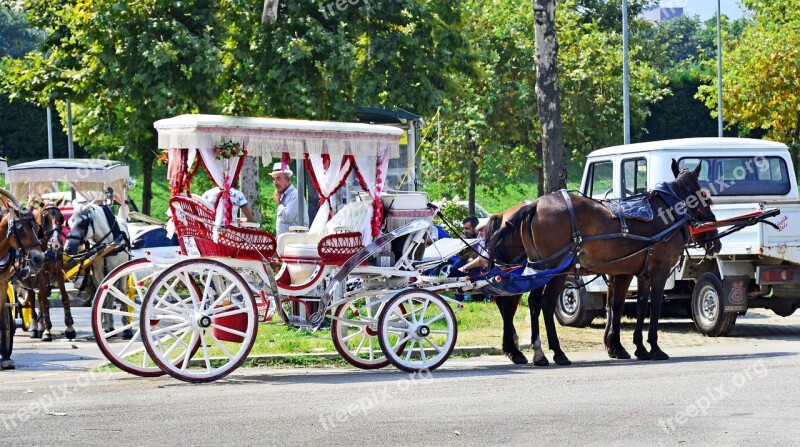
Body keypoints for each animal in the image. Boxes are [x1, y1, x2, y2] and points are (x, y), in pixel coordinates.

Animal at [488, 159, 720, 366]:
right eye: (704, 196)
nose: (715, 239)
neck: (669, 210)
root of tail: (535, 205)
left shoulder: (636, 272)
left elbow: (635, 307)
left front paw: (635, 347)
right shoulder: (658, 272)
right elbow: (652, 308)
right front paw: (654, 348)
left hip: (540, 268)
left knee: (533, 303)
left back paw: (538, 352)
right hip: (557, 271)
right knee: (544, 303)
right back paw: (557, 352)